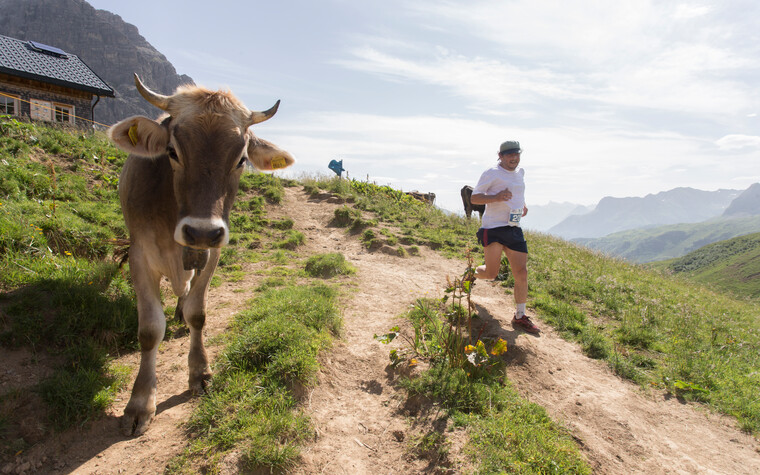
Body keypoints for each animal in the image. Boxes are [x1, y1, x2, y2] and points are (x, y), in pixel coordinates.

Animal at [108, 73, 296, 436]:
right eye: (172, 151)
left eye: (241, 159)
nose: (202, 232)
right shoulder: (140, 256)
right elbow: (149, 330)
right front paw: (140, 403)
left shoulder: (213, 252)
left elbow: (198, 313)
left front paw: (200, 372)